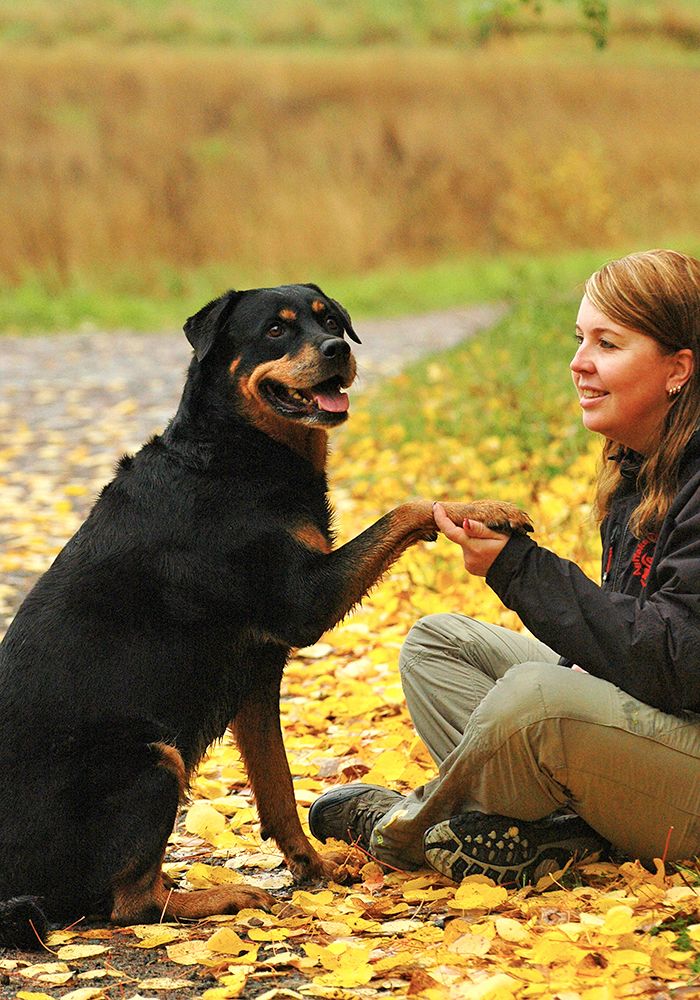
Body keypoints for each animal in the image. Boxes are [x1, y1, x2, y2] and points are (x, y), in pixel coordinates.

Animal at [0, 282, 528, 944]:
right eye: (276, 331)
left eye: (330, 322)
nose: (336, 350)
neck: (236, 451)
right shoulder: (304, 600)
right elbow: (411, 506)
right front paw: (485, 509)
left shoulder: (254, 672)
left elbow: (276, 784)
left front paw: (313, 865)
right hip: (154, 758)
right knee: (130, 906)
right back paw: (224, 895)